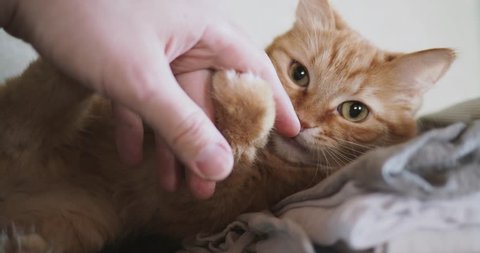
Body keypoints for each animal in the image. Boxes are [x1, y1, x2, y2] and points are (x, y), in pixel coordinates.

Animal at [0, 0, 454, 253]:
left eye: (355, 112)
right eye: (299, 74)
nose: (303, 121)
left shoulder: (204, 205)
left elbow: (231, 152)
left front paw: (246, 101)